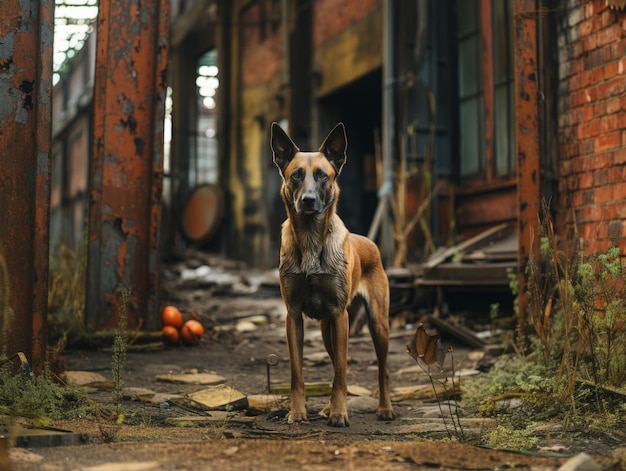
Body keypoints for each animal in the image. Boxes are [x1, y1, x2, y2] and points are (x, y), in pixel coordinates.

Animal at [270, 122, 394, 428]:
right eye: (296, 175)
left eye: (322, 176)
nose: (308, 201)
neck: (311, 238)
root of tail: (370, 243)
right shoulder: (293, 316)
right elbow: (298, 372)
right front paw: (298, 412)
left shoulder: (340, 315)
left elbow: (340, 373)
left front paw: (339, 413)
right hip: (329, 331)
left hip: (377, 325)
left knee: (382, 368)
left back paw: (385, 409)